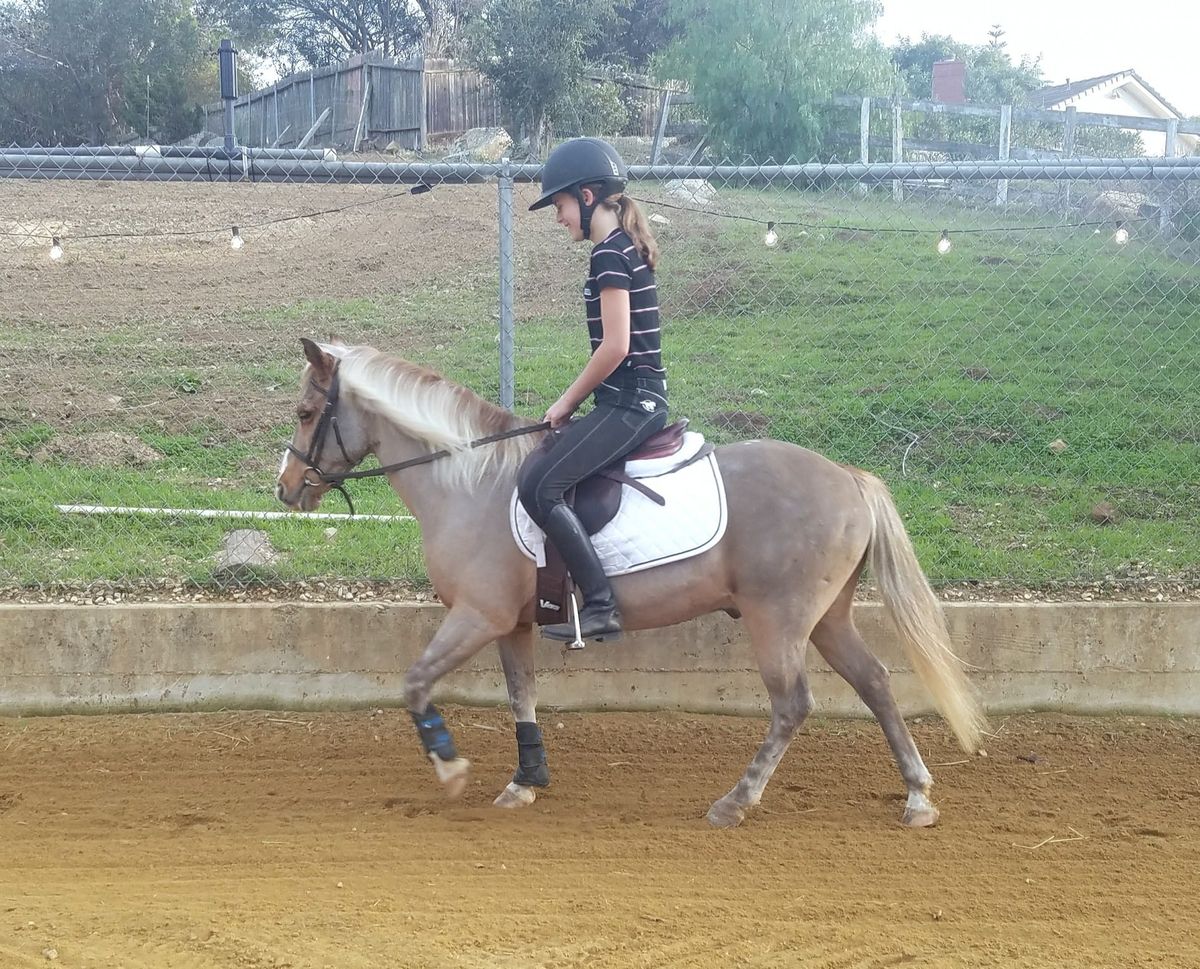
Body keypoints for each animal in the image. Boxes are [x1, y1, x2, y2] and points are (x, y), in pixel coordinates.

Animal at [275, 338, 986, 828]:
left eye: (308, 411)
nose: (284, 490)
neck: (470, 483)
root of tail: (848, 477)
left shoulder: (476, 616)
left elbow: (416, 682)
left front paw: (449, 768)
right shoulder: (512, 623)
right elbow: (521, 697)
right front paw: (526, 780)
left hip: (778, 620)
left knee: (792, 706)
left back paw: (735, 802)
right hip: (828, 617)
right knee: (876, 684)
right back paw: (917, 797)